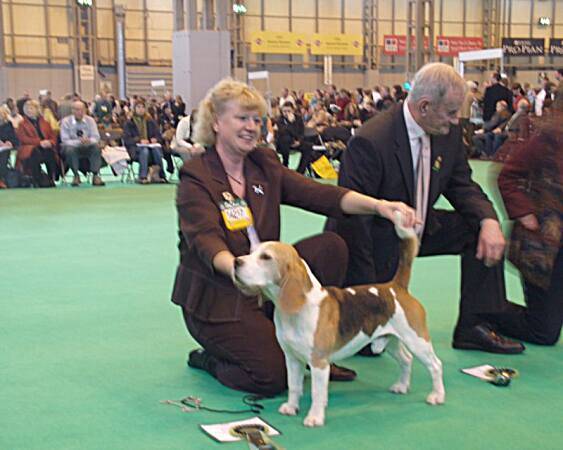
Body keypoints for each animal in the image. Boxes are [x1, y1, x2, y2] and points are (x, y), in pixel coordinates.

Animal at [234, 213, 446, 428]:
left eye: (266, 257)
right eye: (251, 252)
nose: (236, 261)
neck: (296, 312)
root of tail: (396, 286)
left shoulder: (319, 363)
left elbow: (317, 393)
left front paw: (315, 417)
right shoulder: (292, 358)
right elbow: (293, 386)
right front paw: (291, 407)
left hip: (417, 340)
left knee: (435, 365)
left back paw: (437, 396)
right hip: (392, 341)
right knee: (406, 360)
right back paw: (402, 386)